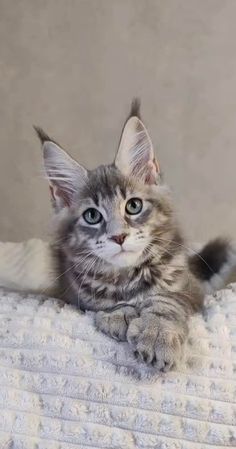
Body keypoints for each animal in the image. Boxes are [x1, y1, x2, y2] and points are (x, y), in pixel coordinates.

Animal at [34, 101, 234, 372]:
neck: (128, 277)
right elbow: (104, 300)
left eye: (133, 206)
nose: (118, 237)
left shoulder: (189, 288)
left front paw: (158, 334)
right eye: (92, 216)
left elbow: (165, 300)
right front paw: (120, 314)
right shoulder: (73, 294)